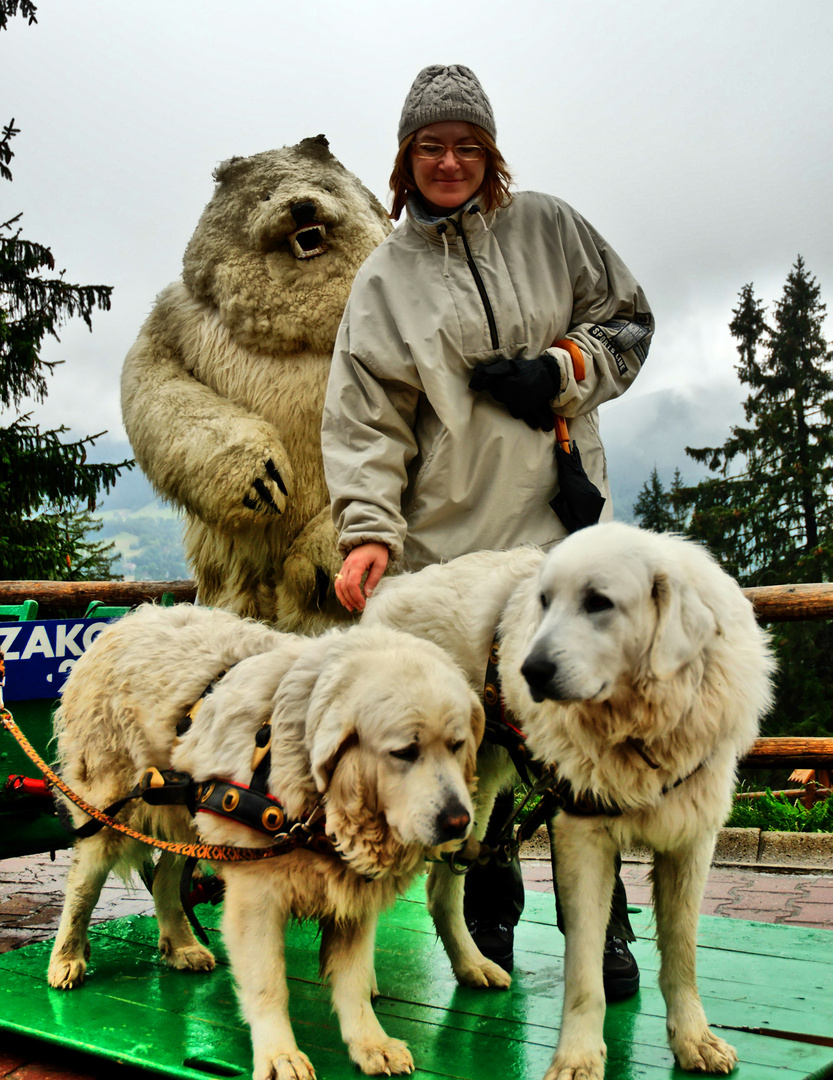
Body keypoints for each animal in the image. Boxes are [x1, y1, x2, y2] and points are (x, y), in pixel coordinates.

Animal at [47, 609, 481, 1080]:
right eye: (404, 752)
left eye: (457, 745)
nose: (459, 821)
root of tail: (120, 623)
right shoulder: (257, 896)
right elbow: (268, 983)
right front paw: (279, 1055)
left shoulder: (352, 899)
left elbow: (352, 982)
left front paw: (370, 1044)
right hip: (109, 814)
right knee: (82, 888)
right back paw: (66, 958)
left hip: (189, 816)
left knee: (164, 880)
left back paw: (181, 945)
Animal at [365, 518, 773, 1075]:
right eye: (544, 602)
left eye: (598, 602)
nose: (528, 670)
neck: (638, 729)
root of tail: (386, 594)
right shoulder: (582, 835)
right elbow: (583, 973)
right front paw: (578, 1060)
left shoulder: (691, 839)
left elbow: (681, 953)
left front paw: (694, 1039)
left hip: (474, 798)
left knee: (442, 890)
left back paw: (473, 966)